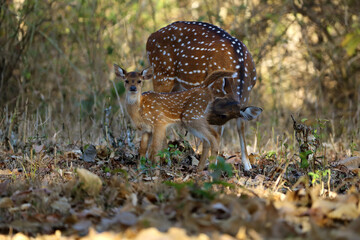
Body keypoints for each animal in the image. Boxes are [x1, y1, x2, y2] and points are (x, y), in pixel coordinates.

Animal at [114, 65, 252, 171]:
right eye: (126, 80)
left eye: (139, 81)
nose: (133, 88)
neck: (140, 110)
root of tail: (204, 87)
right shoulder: (146, 129)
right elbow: (142, 149)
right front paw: (139, 168)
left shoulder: (159, 122)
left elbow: (155, 148)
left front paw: (155, 168)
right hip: (195, 119)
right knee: (209, 138)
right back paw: (199, 169)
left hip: (192, 116)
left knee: (213, 137)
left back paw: (210, 169)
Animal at [146, 21, 262, 171]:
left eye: (223, 115)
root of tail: (150, 37)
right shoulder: (215, 89)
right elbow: (219, 132)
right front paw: (214, 163)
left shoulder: (246, 95)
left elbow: (240, 125)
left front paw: (247, 164)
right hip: (162, 74)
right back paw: (165, 158)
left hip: (176, 84)